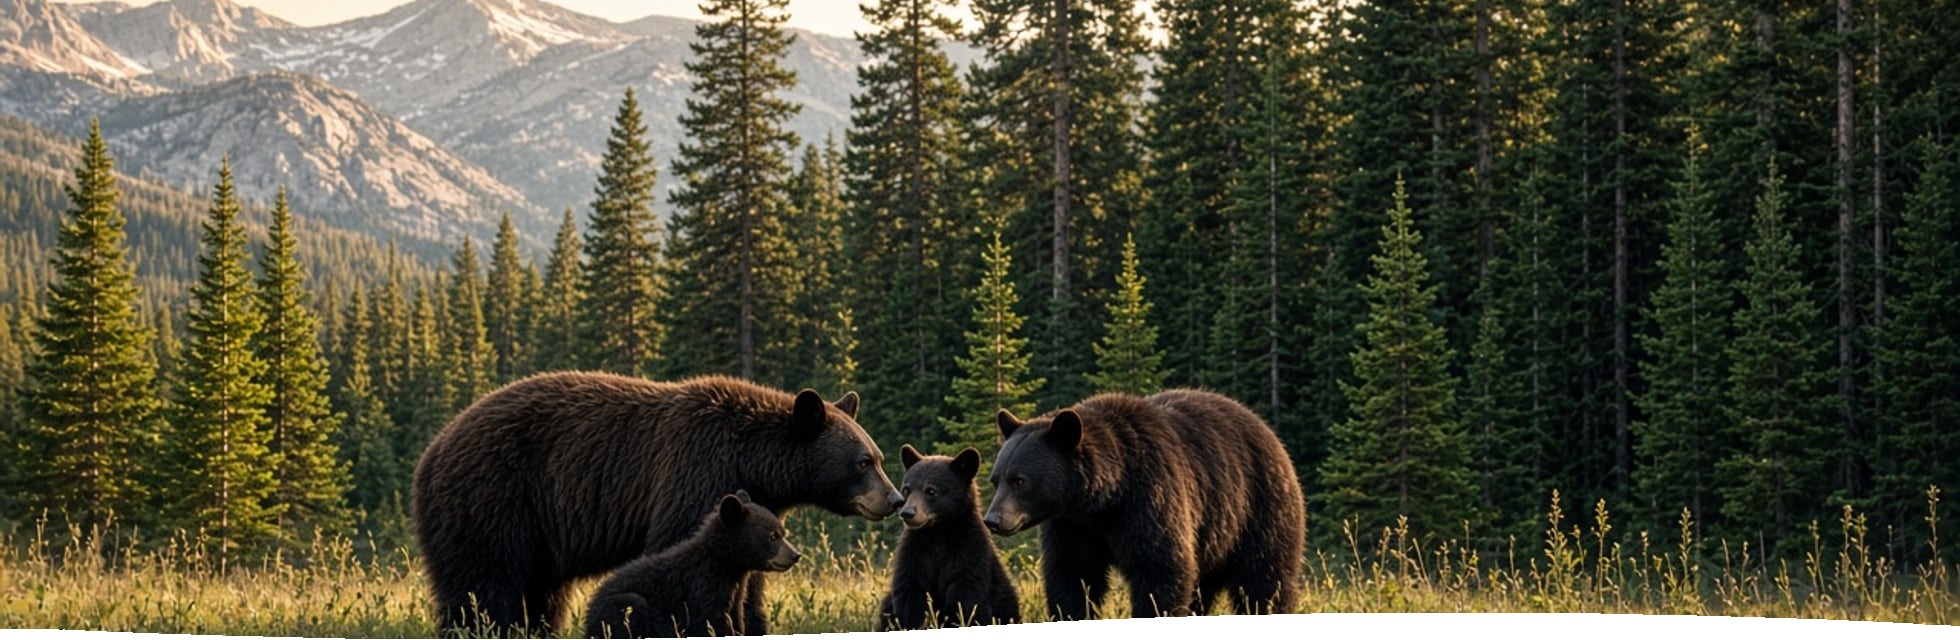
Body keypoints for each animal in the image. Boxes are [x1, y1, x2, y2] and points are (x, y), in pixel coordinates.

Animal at [583, 491, 800, 639]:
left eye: (783, 532)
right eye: (772, 536)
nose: (795, 555)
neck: (725, 563)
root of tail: (588, 618)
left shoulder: (735, 590)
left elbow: (736, 616)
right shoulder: (702, 584)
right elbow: (709, 620)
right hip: (620, 607)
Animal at [878, 445, 1021, 630]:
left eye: (931, 491)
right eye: (906, 489)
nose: (907, 513)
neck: (938, 532)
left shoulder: (968, 551)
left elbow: (965, 599)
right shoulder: (914, 552)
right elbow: (909, 593)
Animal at [983, 389, 1305, 620]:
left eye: (1020, 480)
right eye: (995, 479)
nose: (993, 520)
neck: (1103, 500)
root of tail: (1268, 431)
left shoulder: (1150, 497)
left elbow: (1160, 567)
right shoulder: (1072, 525)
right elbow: (1073, 573)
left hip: (1259, 508)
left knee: (1265, 579)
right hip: (1214, 535)